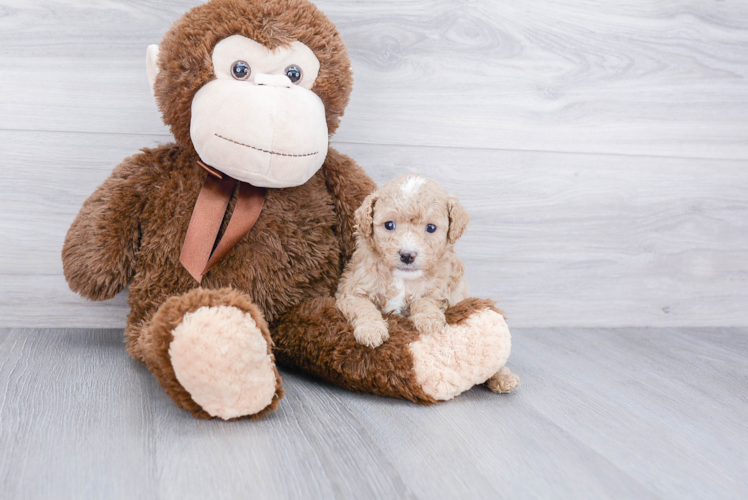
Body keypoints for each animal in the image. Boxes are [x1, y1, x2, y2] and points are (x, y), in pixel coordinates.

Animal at [338, 175, 468, 348]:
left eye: (431, 228)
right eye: (389, 225)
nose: (407, 255)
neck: (402, 278)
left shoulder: (440, 289)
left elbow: (426, 300)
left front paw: (429, 320)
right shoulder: (352, 289)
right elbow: (363, 306)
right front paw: (371, 330)